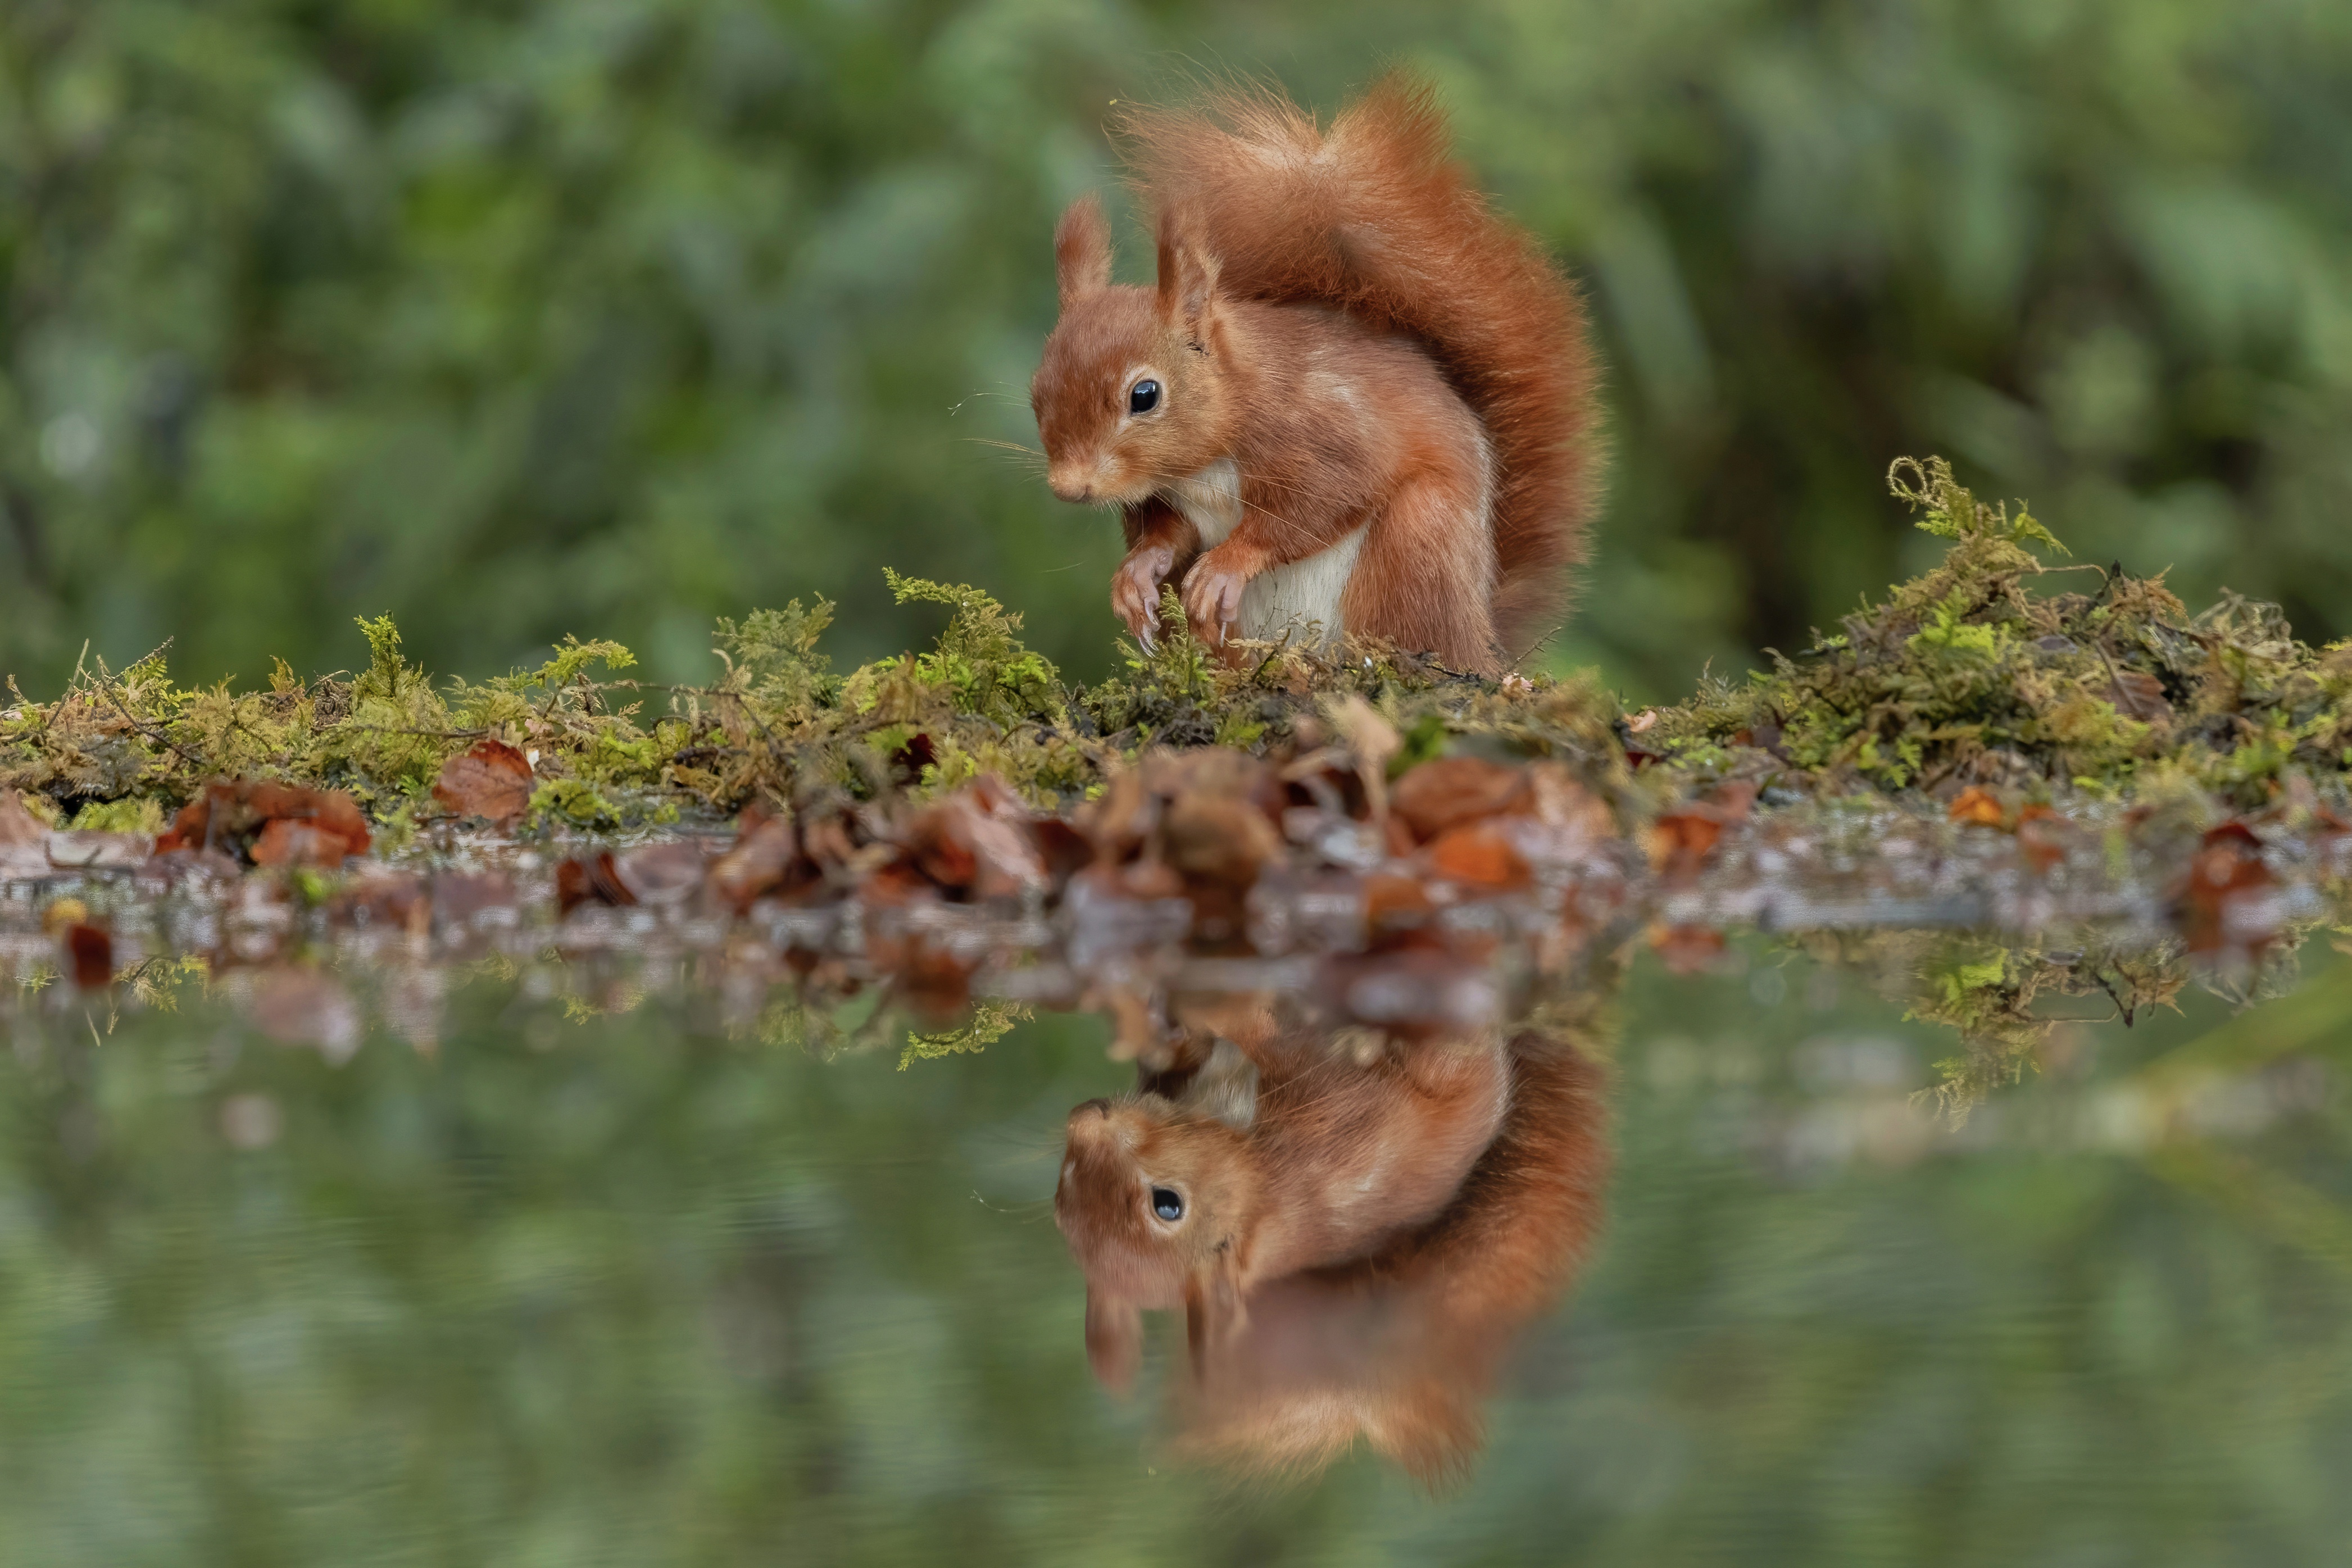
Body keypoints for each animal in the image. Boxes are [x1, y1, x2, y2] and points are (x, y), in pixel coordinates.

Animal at [1029, 75, 1602, 676]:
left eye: (1145, 395)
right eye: (1035, 395)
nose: (1068, 487)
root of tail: (1485, 640)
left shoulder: (1325, 425)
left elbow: (1320, 502)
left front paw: (1229, 564)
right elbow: (1169, 532)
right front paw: (1138, 571)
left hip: (1418, 546)